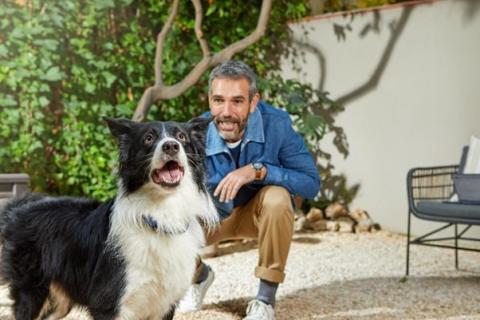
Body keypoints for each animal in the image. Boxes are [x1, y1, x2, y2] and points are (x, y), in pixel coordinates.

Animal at [0, 117, 218, 320]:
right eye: (148, 138)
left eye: (181, 136)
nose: (171, 146)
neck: (159, 215)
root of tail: (19, 209)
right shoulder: (109, 304)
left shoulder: (164, 305)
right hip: (32, 293)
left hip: (58, 302)